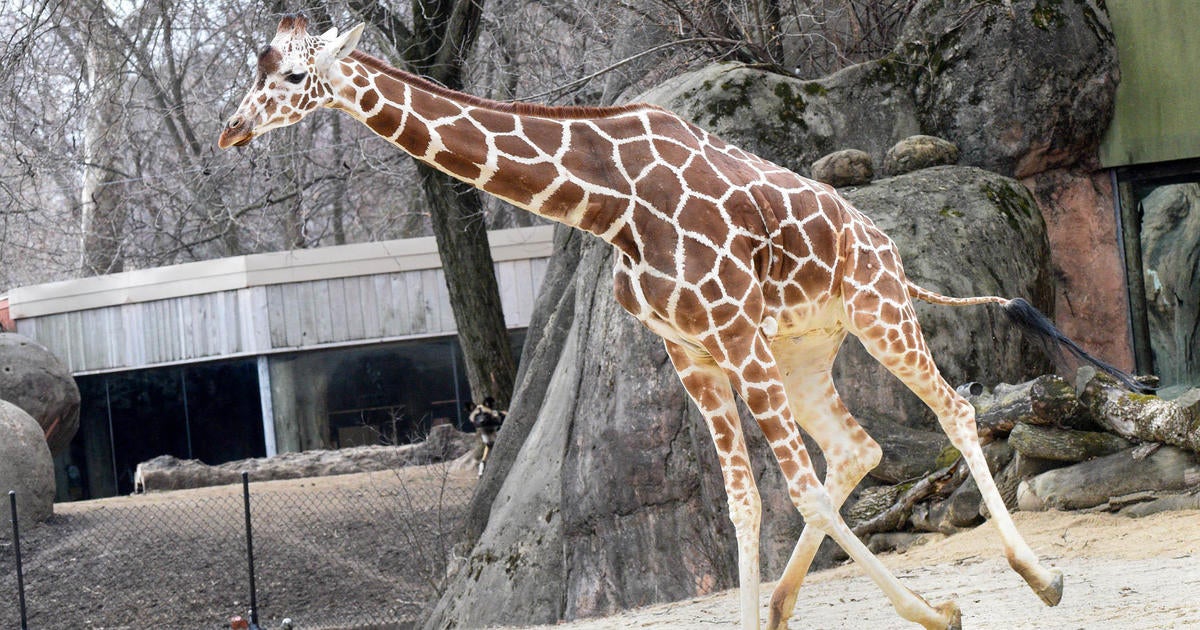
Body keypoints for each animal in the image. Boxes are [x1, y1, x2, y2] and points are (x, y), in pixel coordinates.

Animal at [216, 13, 1142, 624]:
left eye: (293, 78)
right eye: (256, 73)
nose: (230, 131)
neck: (610, 205)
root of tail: (881, 238)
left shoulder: (730, 331)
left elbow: (797, 491)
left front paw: (935, 612)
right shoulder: (690, 352)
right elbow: (744, 501)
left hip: (877, 312)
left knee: (948, 409)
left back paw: (1042, 579)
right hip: (804, 346)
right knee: (860, 447)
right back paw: (784, 604)